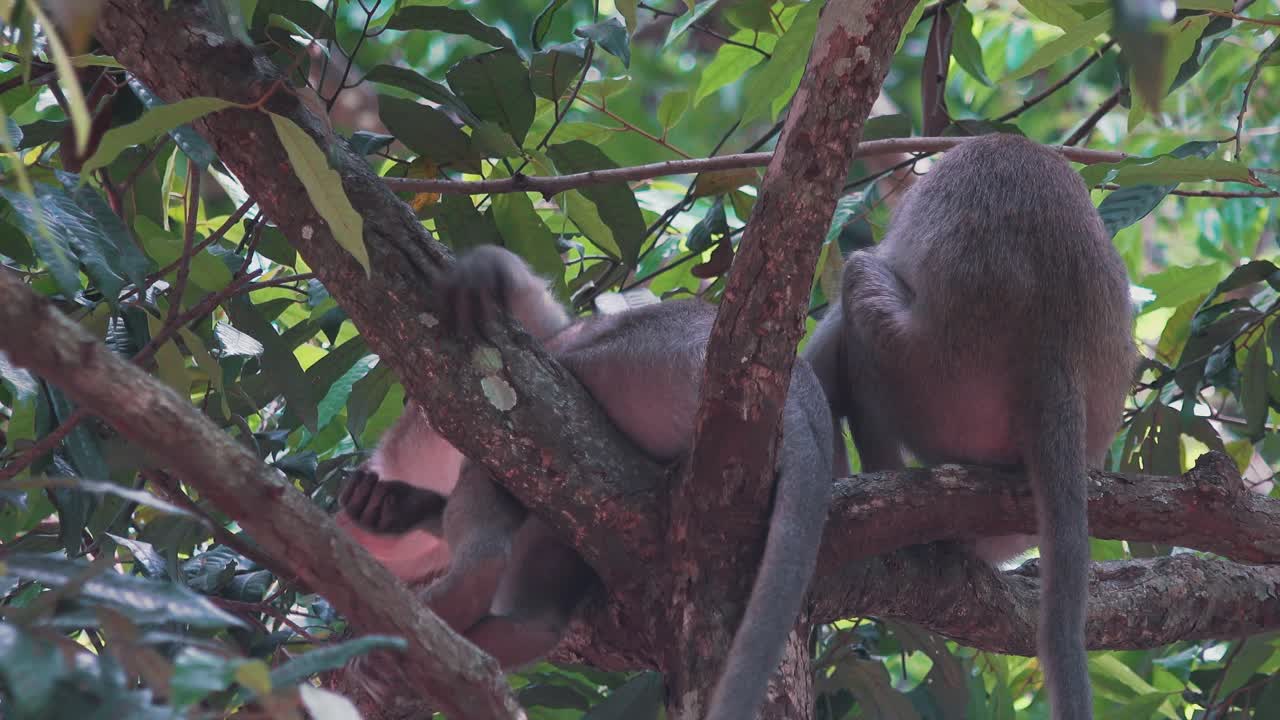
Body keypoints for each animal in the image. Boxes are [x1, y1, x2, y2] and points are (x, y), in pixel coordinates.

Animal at [338, 244, 834, 720]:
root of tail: (798, 392)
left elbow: (533, 321)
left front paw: (482, 270)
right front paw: (385, 510)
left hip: (645, 362)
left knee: (531, 411)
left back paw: (465, 581)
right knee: (542, 609)